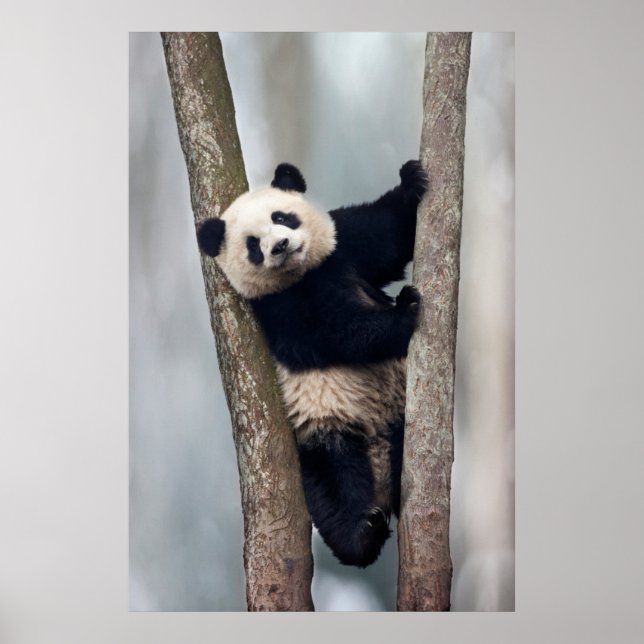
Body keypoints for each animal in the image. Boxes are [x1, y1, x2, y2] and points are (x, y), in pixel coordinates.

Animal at [197, 160, 427, 567]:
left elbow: (386, 235)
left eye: (282, 217)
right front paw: (404, 312)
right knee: (334, 487)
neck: (304, 274)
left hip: (399, 410)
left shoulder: (342, 247)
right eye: (252, 245)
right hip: (324, 432)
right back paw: (363, 533)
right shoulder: (279, 309)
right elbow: (334, 332)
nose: (280, 246)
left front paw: (411, 180)